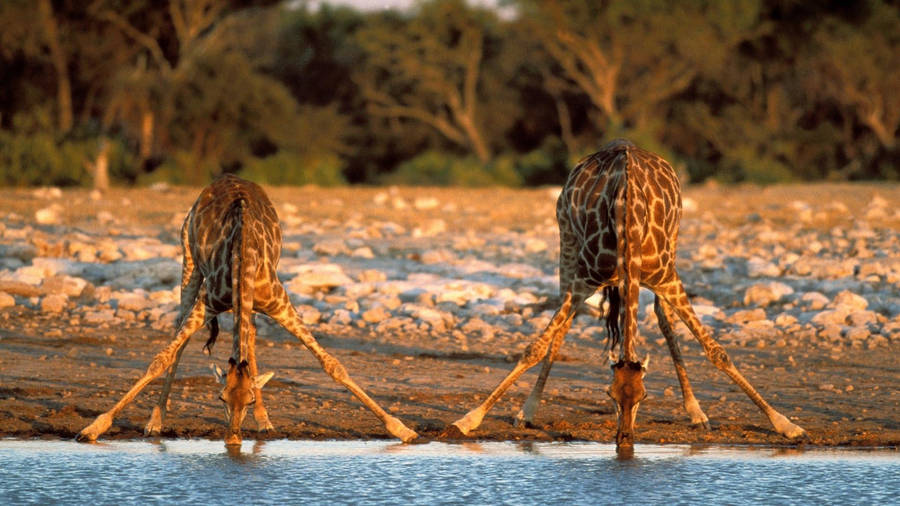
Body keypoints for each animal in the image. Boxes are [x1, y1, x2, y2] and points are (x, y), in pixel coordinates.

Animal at [77, 174, 418, 445]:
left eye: (249, 399)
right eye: (220, 397)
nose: (233, 439)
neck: (243, 258)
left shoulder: (280, 303)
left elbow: (333, 365)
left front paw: (402, 429)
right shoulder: (208, 302)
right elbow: (161, 359)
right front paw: (94, 428)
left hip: (247, 301)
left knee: (250, 338)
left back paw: (265, 421)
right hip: (189, 261)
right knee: (181, 333)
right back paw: (155, 421)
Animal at [446, 139, 807, 449]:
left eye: (644, 396)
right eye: (609, 394)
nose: (624, 440)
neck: (628, 220)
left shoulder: (667, 277)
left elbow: (717, 352)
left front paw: (786, 424)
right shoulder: (583, 280)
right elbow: (533, 347)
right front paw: (468, 419)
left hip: (673, 246)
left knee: (663, 317)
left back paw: (696, 412)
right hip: (567, 240)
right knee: (564, 323)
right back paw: (528, 410)